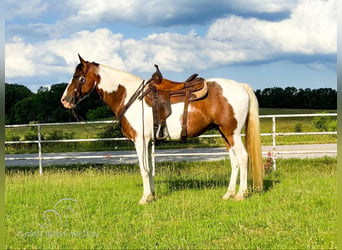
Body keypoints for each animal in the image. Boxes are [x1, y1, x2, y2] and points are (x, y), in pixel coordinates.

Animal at [61, 54, 264, 203]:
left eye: (79, 78)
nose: (64, 100)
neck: (131, 97)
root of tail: (241, 86)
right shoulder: (149, 142)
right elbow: (150, 168)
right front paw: (152, 194)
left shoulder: (140, 141)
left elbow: (143, 168)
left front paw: (144, 198)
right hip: (225, 134)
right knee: (235, 161)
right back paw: (229, 193)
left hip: (232, 133)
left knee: (243, 158)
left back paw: (241, 194)